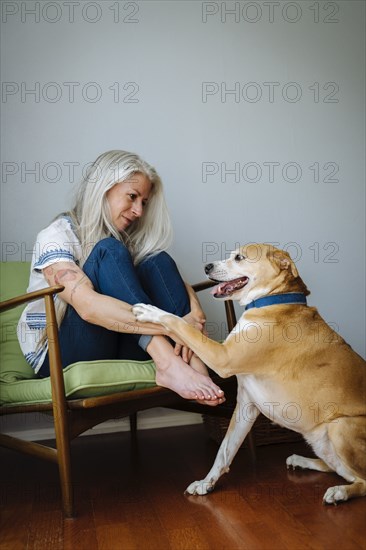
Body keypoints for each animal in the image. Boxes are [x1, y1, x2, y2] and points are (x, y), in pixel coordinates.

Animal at [133, 246, 366, 504]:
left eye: (239, 257)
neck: (269, 301)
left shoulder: (222, 357)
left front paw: (151, 311)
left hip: (341, 428)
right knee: (336, 468)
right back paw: (301, 461)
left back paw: (340, 492)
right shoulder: (246, 404)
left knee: (361, 480)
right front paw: (207, 483)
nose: (207, 267)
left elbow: (180, 325)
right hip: (320, 440)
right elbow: (225, 450)